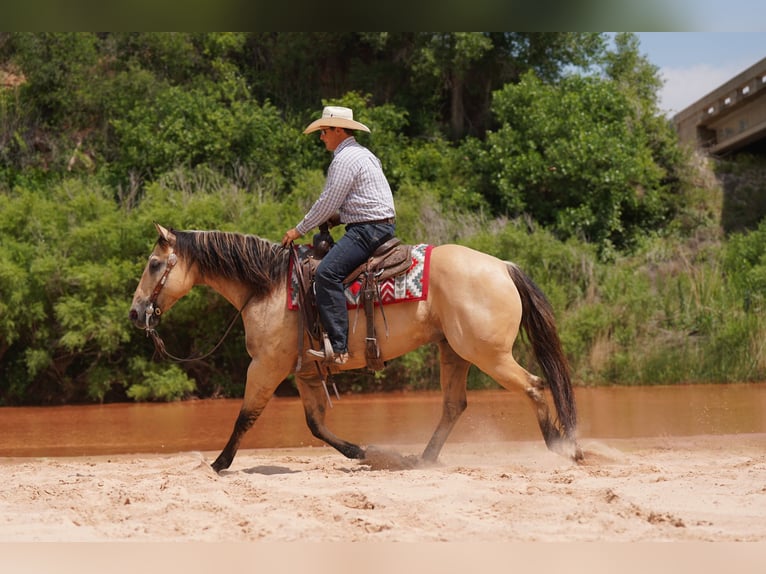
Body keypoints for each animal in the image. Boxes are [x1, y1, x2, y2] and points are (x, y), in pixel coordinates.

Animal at [129, 224, 584, 472]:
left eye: (154, 264)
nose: (136, 313)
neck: (268, 286)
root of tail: (503, 267)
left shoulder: (265, 366)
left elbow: (246, 417)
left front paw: (219, 463)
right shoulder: (305, 371)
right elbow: (315, 423)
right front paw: (359, 450)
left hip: (488, 355)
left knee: (534, 386)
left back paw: (561, 448)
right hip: (454, 352)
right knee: (454, 406)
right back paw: (422, 459)